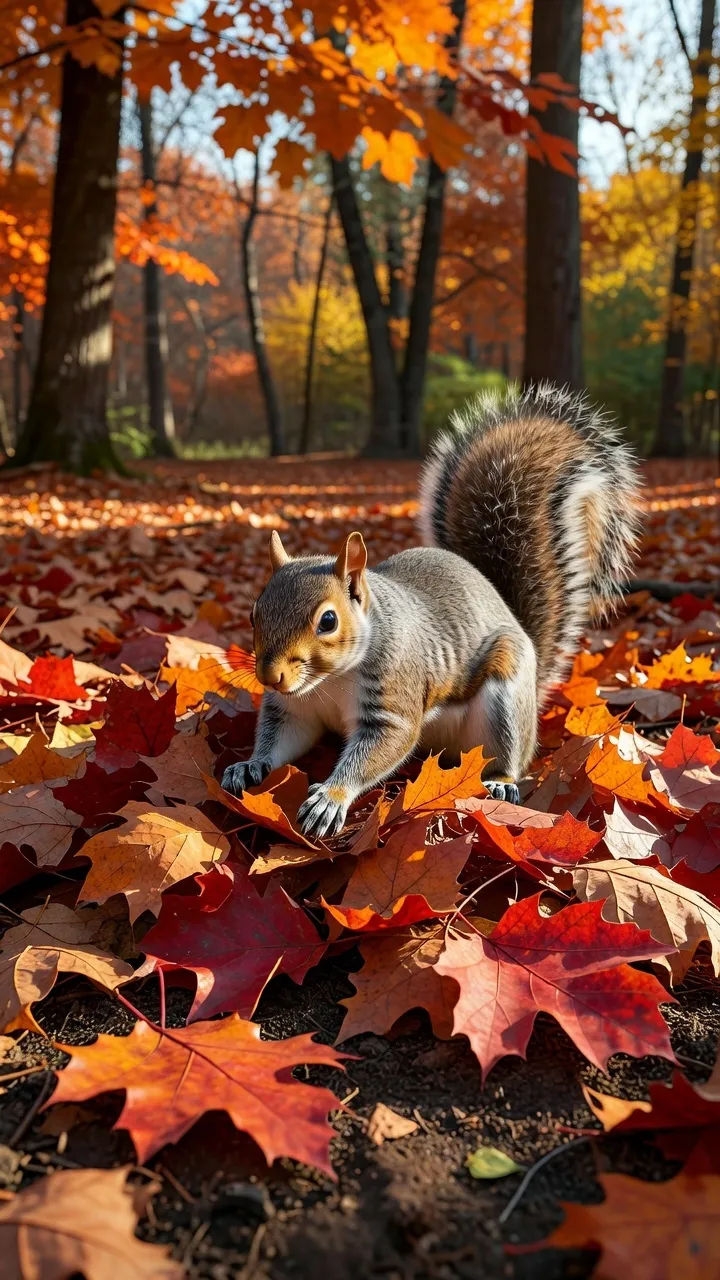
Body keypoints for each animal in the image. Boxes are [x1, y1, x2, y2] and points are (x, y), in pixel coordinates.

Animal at [222, 384, 640, 839]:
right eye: (254, 614)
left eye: (328, 621)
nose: (270, 676)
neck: (329, 682)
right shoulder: (294, 709)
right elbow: (283, 737)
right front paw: (250, 764)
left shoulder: (394, 698)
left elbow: (383, 746)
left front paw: (331, 797)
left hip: (506, 701)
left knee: (508, 754)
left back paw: (501, 781)